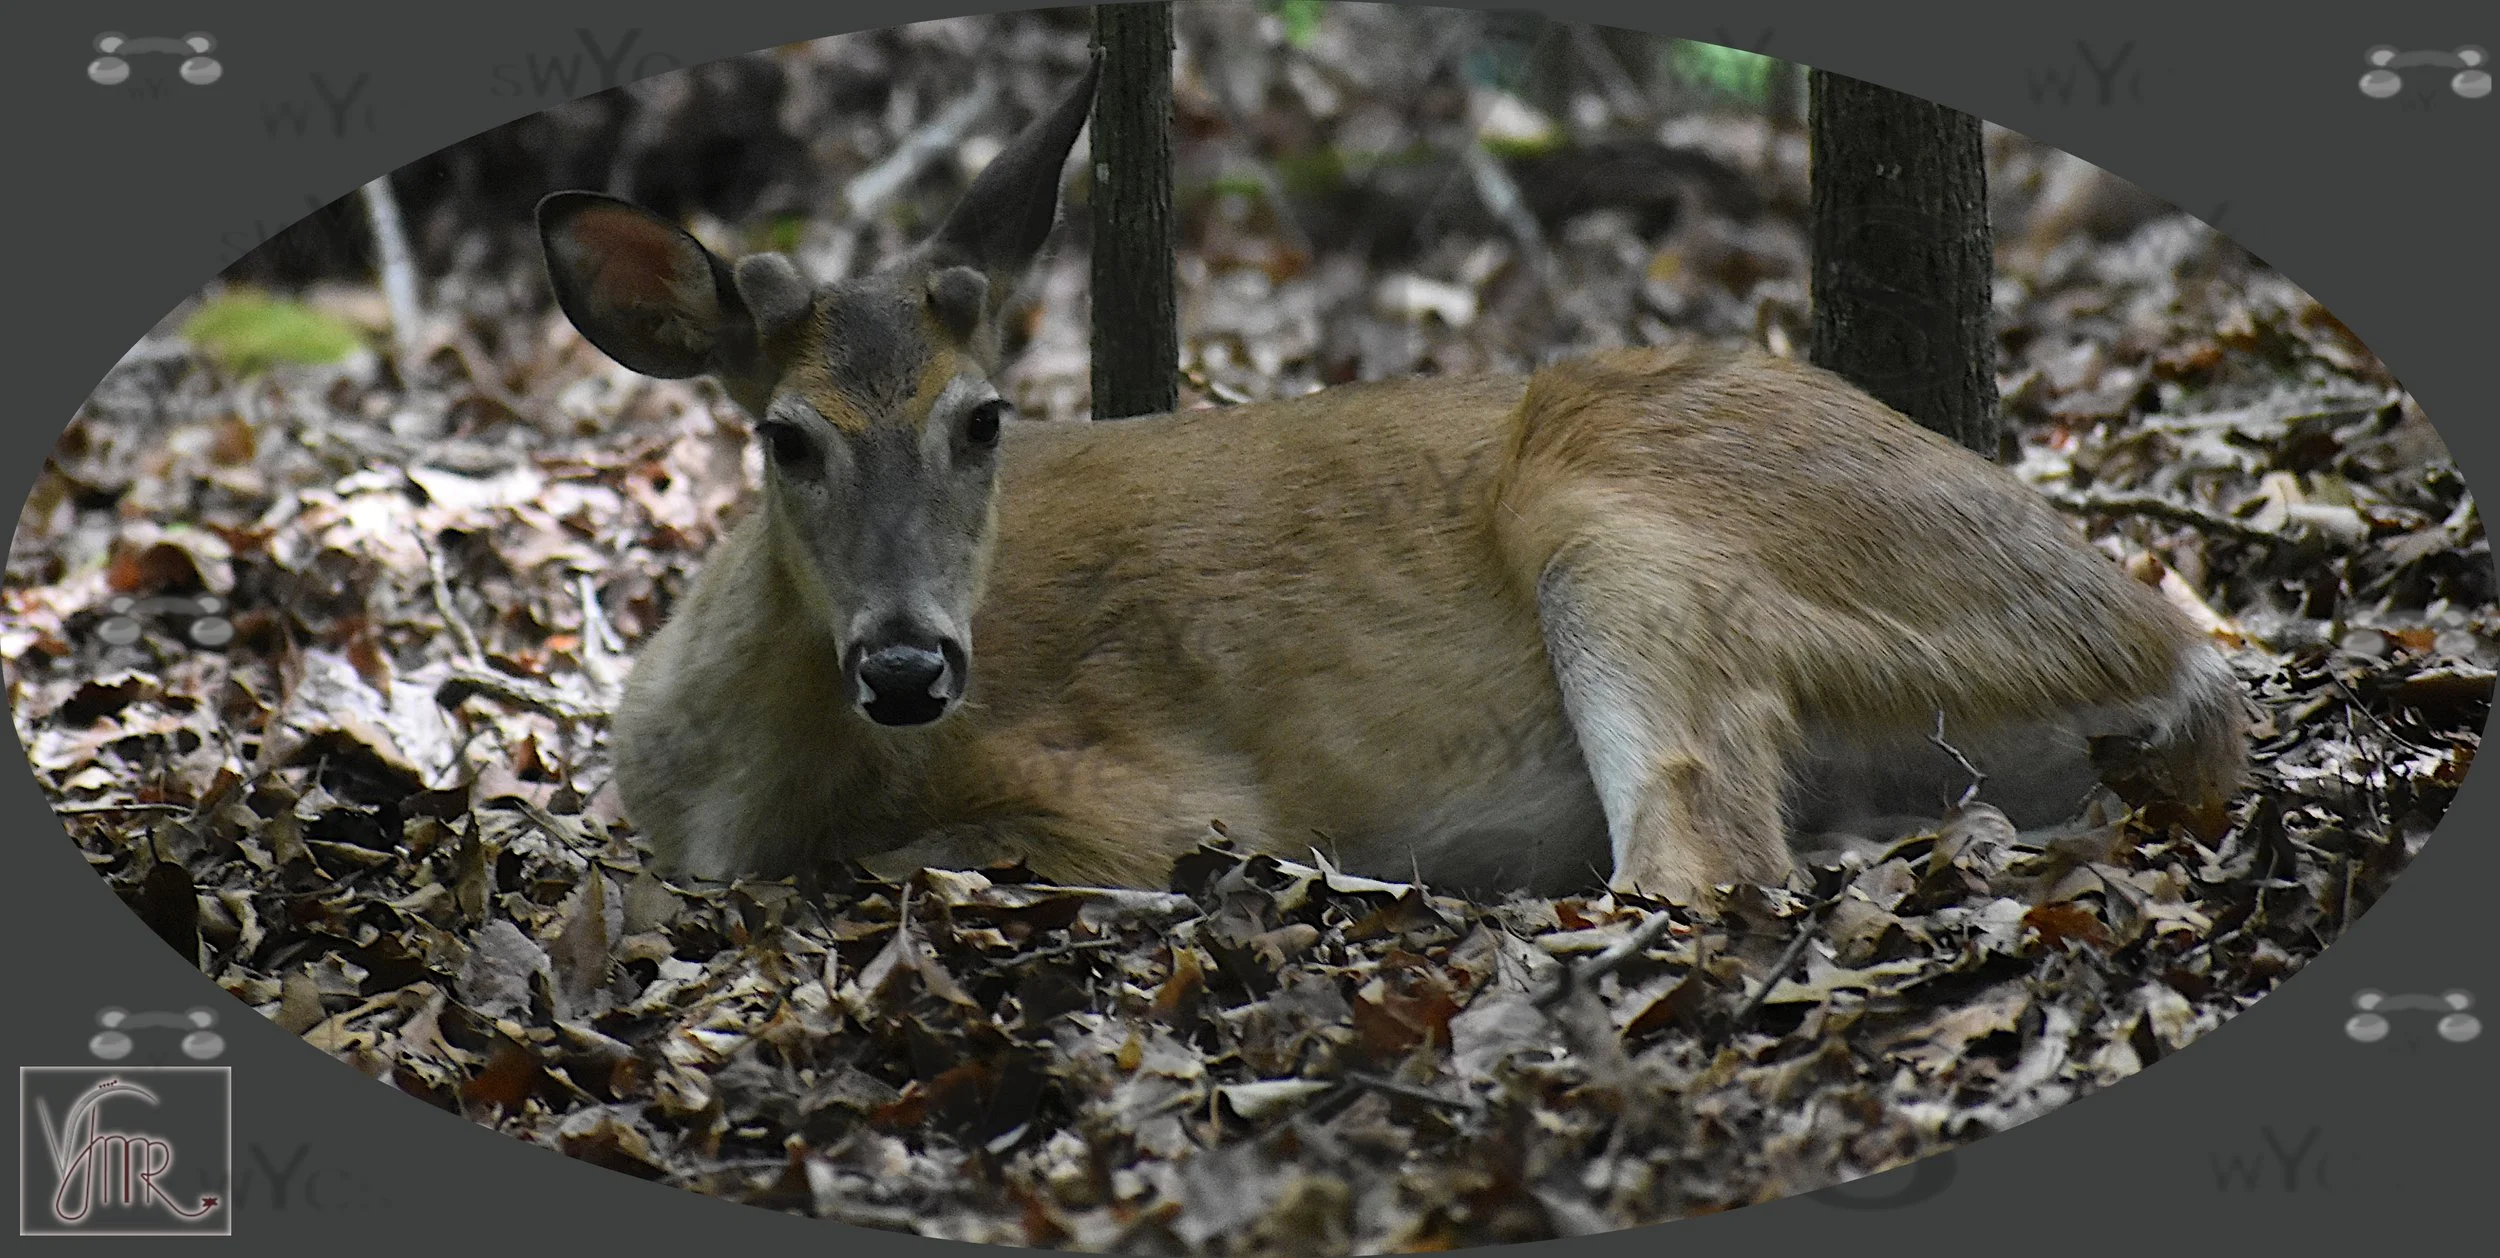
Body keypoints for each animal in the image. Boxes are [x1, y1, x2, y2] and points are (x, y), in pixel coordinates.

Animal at [535, 62, 2249, 906]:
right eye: (786, 436)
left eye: (986, 418)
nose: (907, 662)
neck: (729, 789)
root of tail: (2181, 655)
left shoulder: (1141, 795)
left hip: (1630, 534)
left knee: (1703, 864)